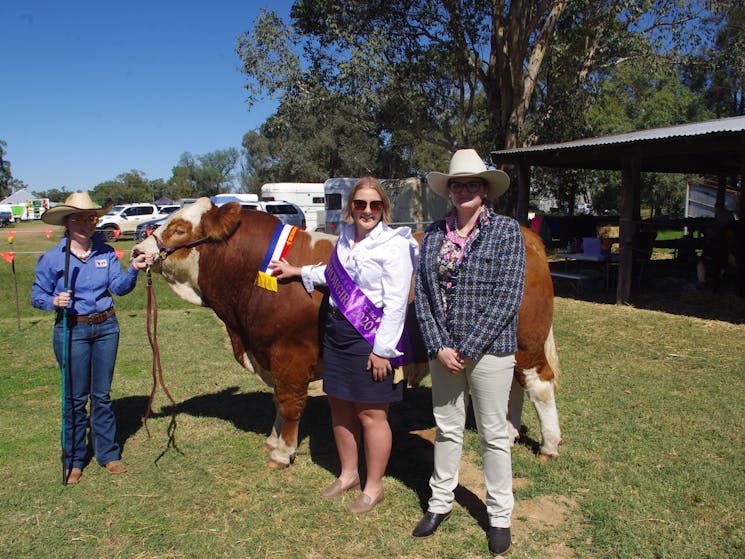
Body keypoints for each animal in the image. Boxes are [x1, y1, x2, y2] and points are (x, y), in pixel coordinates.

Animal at [134, 199, 560, 466]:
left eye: (177, 227)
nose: (138, 251)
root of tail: (524, 233)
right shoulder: (269, 355)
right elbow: (277, 402)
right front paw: (274, 439)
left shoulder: (288, 356)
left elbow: (290, 403)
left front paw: (282, 452)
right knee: (516, 385)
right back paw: (509, 432)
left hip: (526, 342)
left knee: (539, 385)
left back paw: (549, 445)